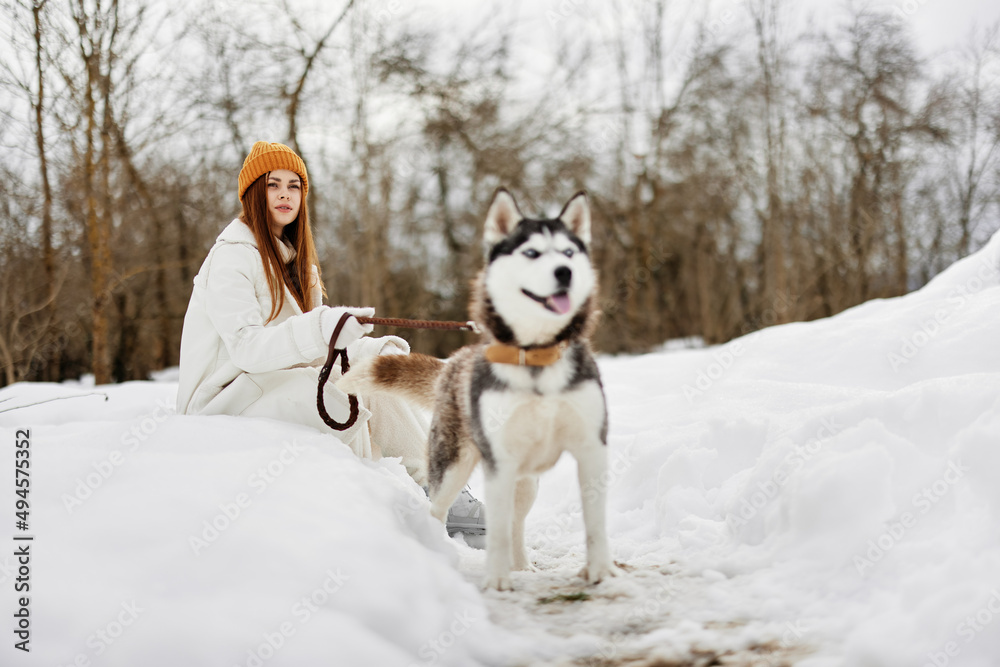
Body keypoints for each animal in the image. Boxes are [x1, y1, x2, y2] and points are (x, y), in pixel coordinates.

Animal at [338, 187, 616, 588]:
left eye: (568, 252)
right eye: (531, 253)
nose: (564, 273)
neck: (537, 359)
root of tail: (455, 363)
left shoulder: (592, 448)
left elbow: (594, 521)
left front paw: (600, 571)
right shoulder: (498, 460)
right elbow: (495, 530)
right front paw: (496, 582)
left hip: (526, 483)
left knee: (516, 522)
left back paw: (522, 565)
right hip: (453, 468)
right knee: (438, 511)